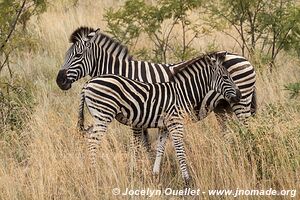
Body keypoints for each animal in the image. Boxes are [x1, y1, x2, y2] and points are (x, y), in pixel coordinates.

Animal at [78, 52, 241, 186]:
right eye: (226, 77)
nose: (239, 96)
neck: (182, 93)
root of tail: (88, 83)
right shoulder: (175, 123)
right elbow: (180, 150)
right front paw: (187, 179)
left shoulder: (165, 126)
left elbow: (160, 148)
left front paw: (155, 174)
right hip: (103, 115)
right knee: (93, 141)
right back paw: (95, 173)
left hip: (97, 117)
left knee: (88, 137)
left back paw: (88, 168)